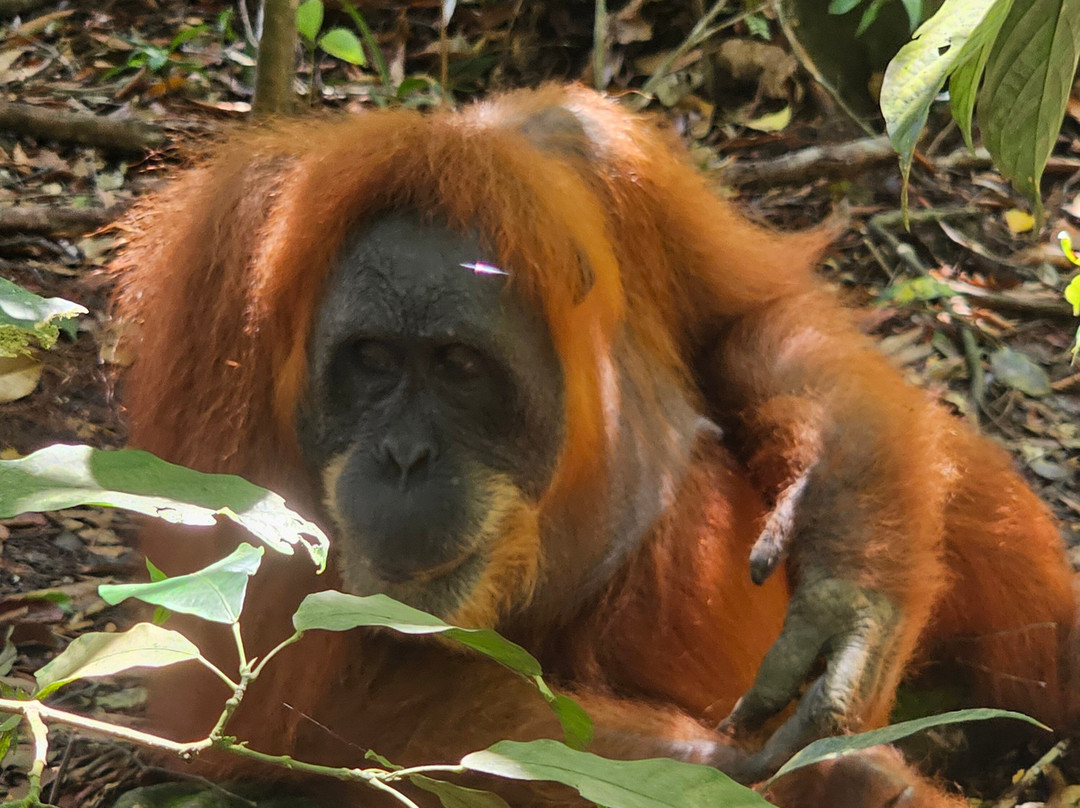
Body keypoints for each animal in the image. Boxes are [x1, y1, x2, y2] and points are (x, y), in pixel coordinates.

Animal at [111, 84, 1076, 806]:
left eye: (459, 367)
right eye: (373, 360)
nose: (405, 460)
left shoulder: (610, 152)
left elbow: (750, 320)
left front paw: (851, 593)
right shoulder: (220, 280)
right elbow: (268, 695)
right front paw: (795, 781)